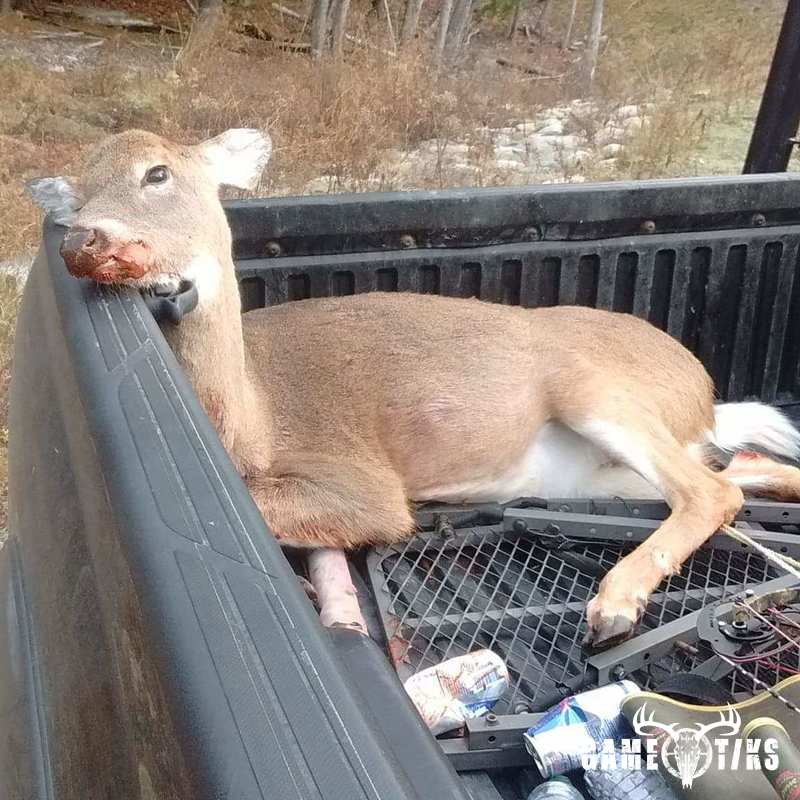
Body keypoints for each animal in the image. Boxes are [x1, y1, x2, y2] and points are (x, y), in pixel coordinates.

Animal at [26, 128, 800, 652]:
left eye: (157, 172)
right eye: (74, 199)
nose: (84, 240)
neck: (252, 420)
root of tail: (702, 390)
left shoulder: (361, 481)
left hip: (593, 389)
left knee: (711, 491)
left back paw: (613, 605)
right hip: (599, 475)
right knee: (740, 470)